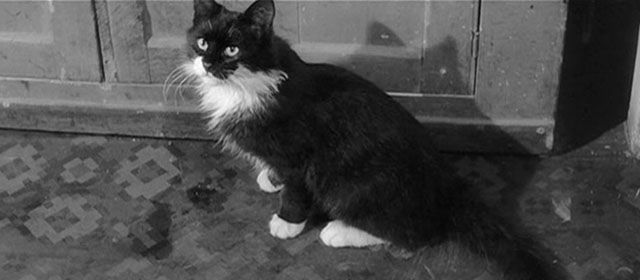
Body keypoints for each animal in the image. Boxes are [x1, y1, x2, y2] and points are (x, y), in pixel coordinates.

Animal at [182, 0, 568, 278]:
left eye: (232, 49)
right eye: (202, 42)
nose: (208, 63)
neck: (247, 83)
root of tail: (447, 191)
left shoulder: (299, 153)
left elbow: (296, 187)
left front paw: (287, 222)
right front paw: (269, 177)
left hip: (356, 184)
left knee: (413, 235)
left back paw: (338, 231)